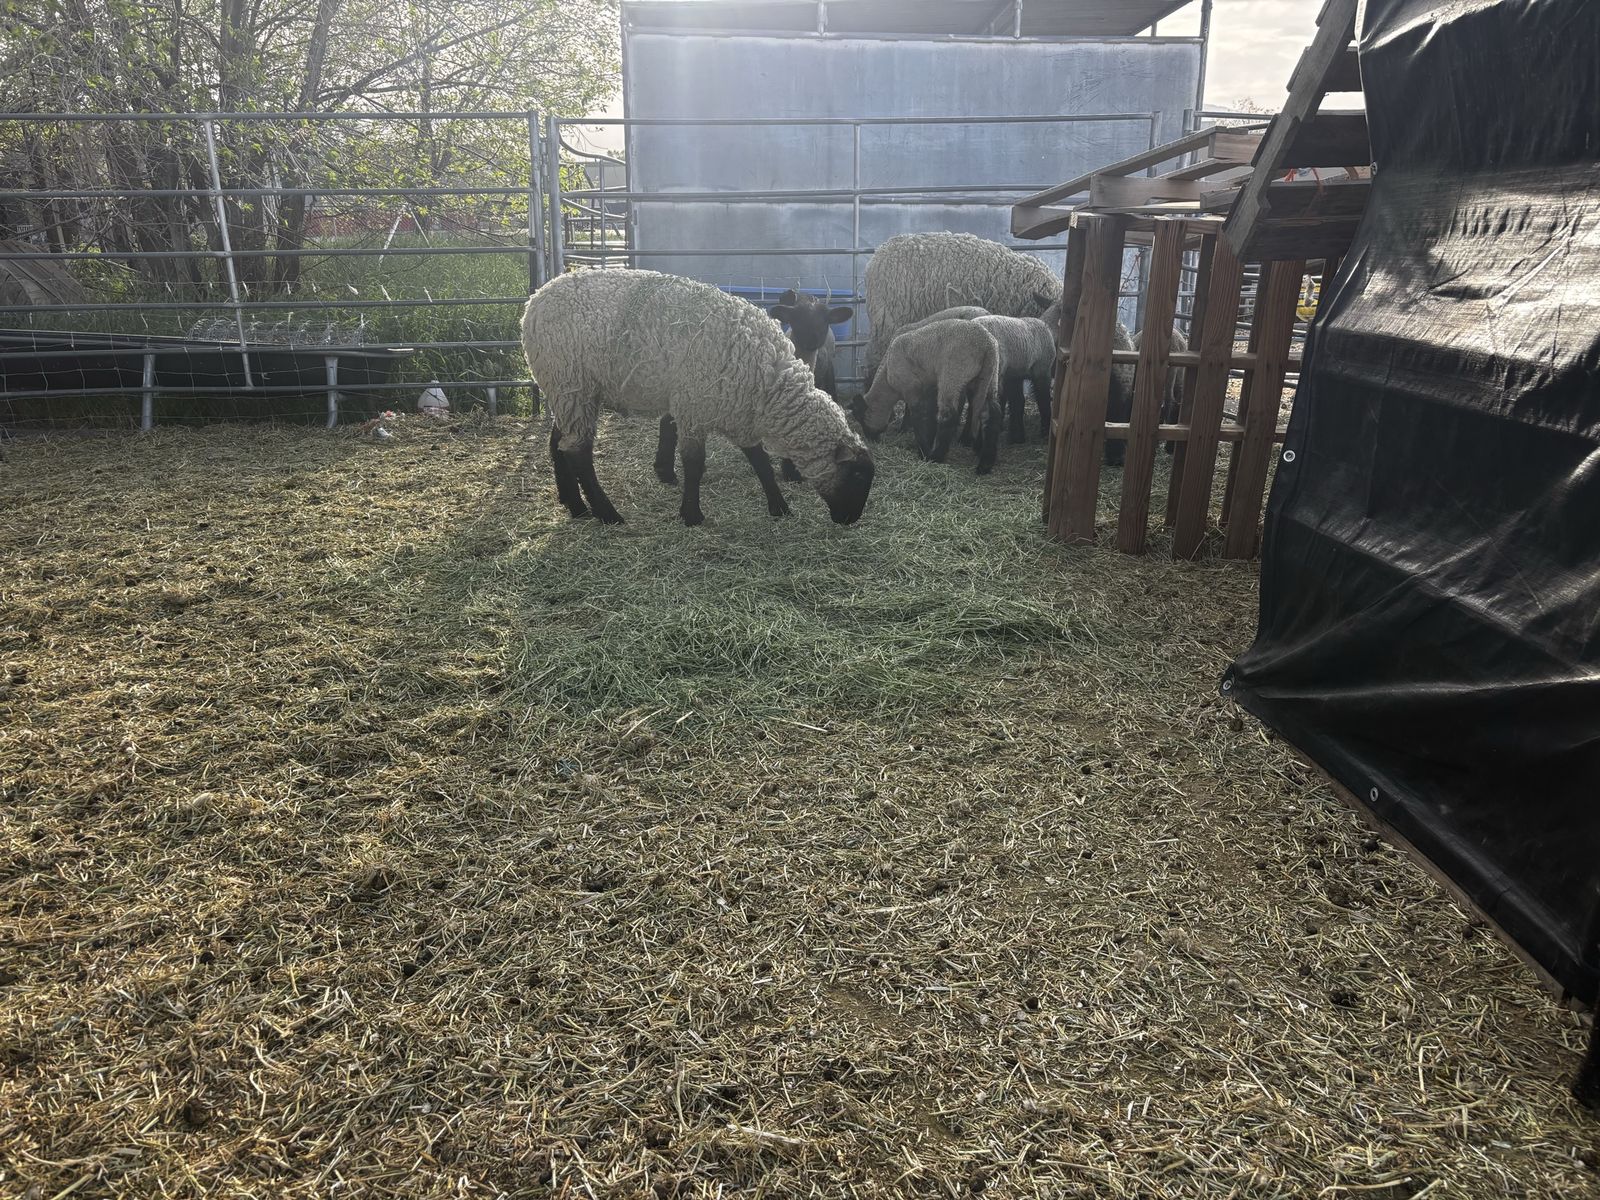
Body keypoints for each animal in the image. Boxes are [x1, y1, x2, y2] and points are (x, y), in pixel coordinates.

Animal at [521, 269, 875, 527]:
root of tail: (534, 302)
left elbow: (759, 460)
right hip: (571, 381)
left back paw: (575, 505)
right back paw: (608, 514)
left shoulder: (737, 411)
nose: (850, 519)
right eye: (858, 475)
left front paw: (779, 506)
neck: (768, 383)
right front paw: (691, 515)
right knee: (578, 452)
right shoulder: (694, 407)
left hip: (568, 391)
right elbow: (694, 464)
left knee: (558, 444)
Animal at [860, 318, 1002, 473]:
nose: (870, 439)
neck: (887, 378)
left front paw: (924, 451)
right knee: (991, 414)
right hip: (989, 377)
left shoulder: (911, 388)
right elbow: (930, 417)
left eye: (862, 419)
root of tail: (987, 345)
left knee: (949, 416)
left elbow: (918, 418)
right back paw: (985, 464)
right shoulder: (929, 389)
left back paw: (936, 457)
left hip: (953, 374)